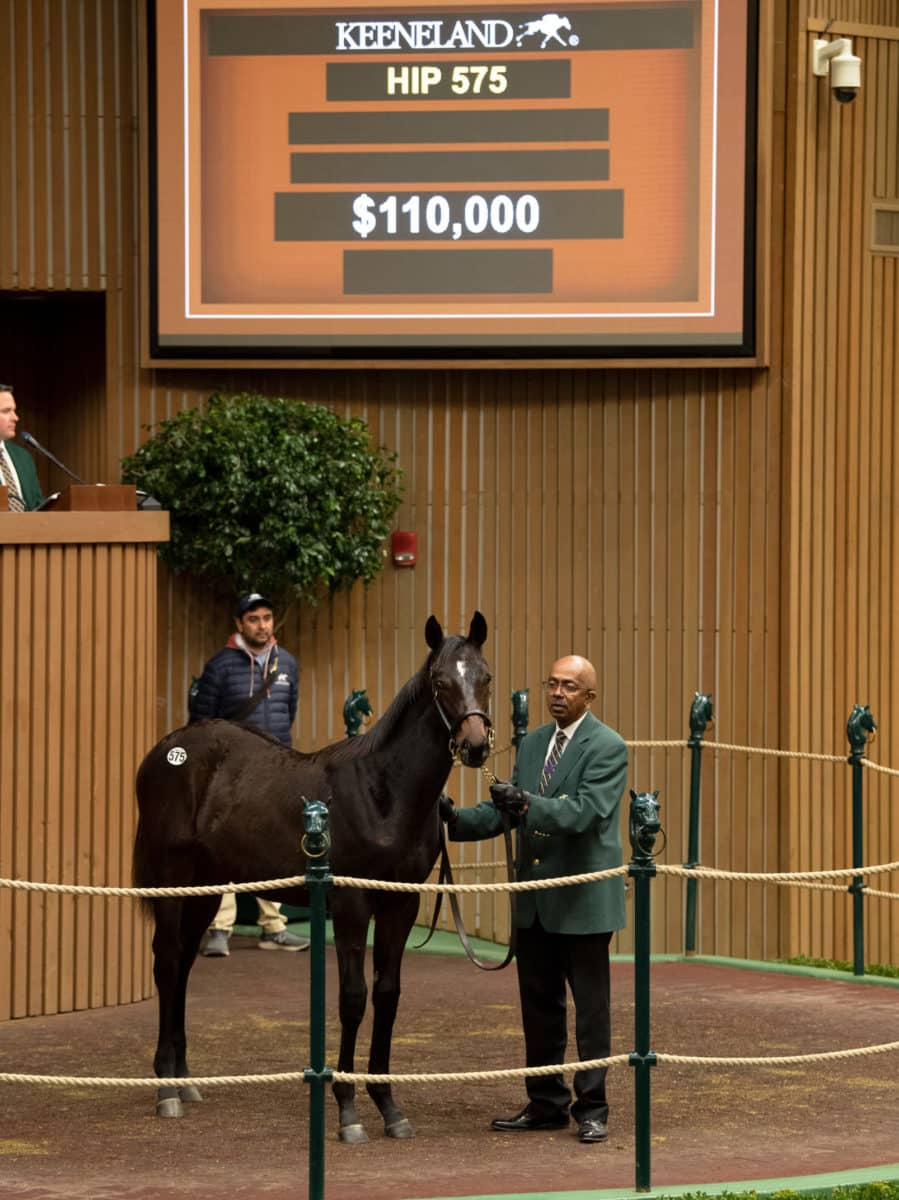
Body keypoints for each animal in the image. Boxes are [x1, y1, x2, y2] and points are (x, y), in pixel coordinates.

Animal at [133, 614, 492, 1137]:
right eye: (441, 683)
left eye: (485, 677)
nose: (475, 745)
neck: (383, 791)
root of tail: (167, 749)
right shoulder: (350, 903)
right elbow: (353, 997)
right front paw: (346, 1109)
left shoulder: (401, 902)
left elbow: (387, 995)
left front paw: (389, 1106)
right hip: (171, 880)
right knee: (165, 963)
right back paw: (165, 1090)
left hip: (205, 888)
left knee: (181, 967)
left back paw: (185, 1081)